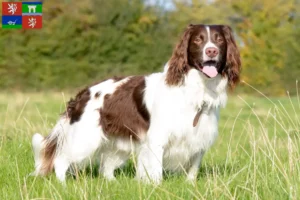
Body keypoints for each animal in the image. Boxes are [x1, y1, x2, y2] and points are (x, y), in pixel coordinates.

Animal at [31, 24, 241, 184]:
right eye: (198, 40)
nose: (211, 51)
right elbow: (156, 171)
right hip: (84, 139)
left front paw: (190, 185)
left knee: (106, 168)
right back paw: (63, 185)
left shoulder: (199, 139)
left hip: (116, 143)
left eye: (219, 40)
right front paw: (157, 187)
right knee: (60, 160)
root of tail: (83, 94)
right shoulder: (157, 139)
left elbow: (193, 169)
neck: (197, 89)